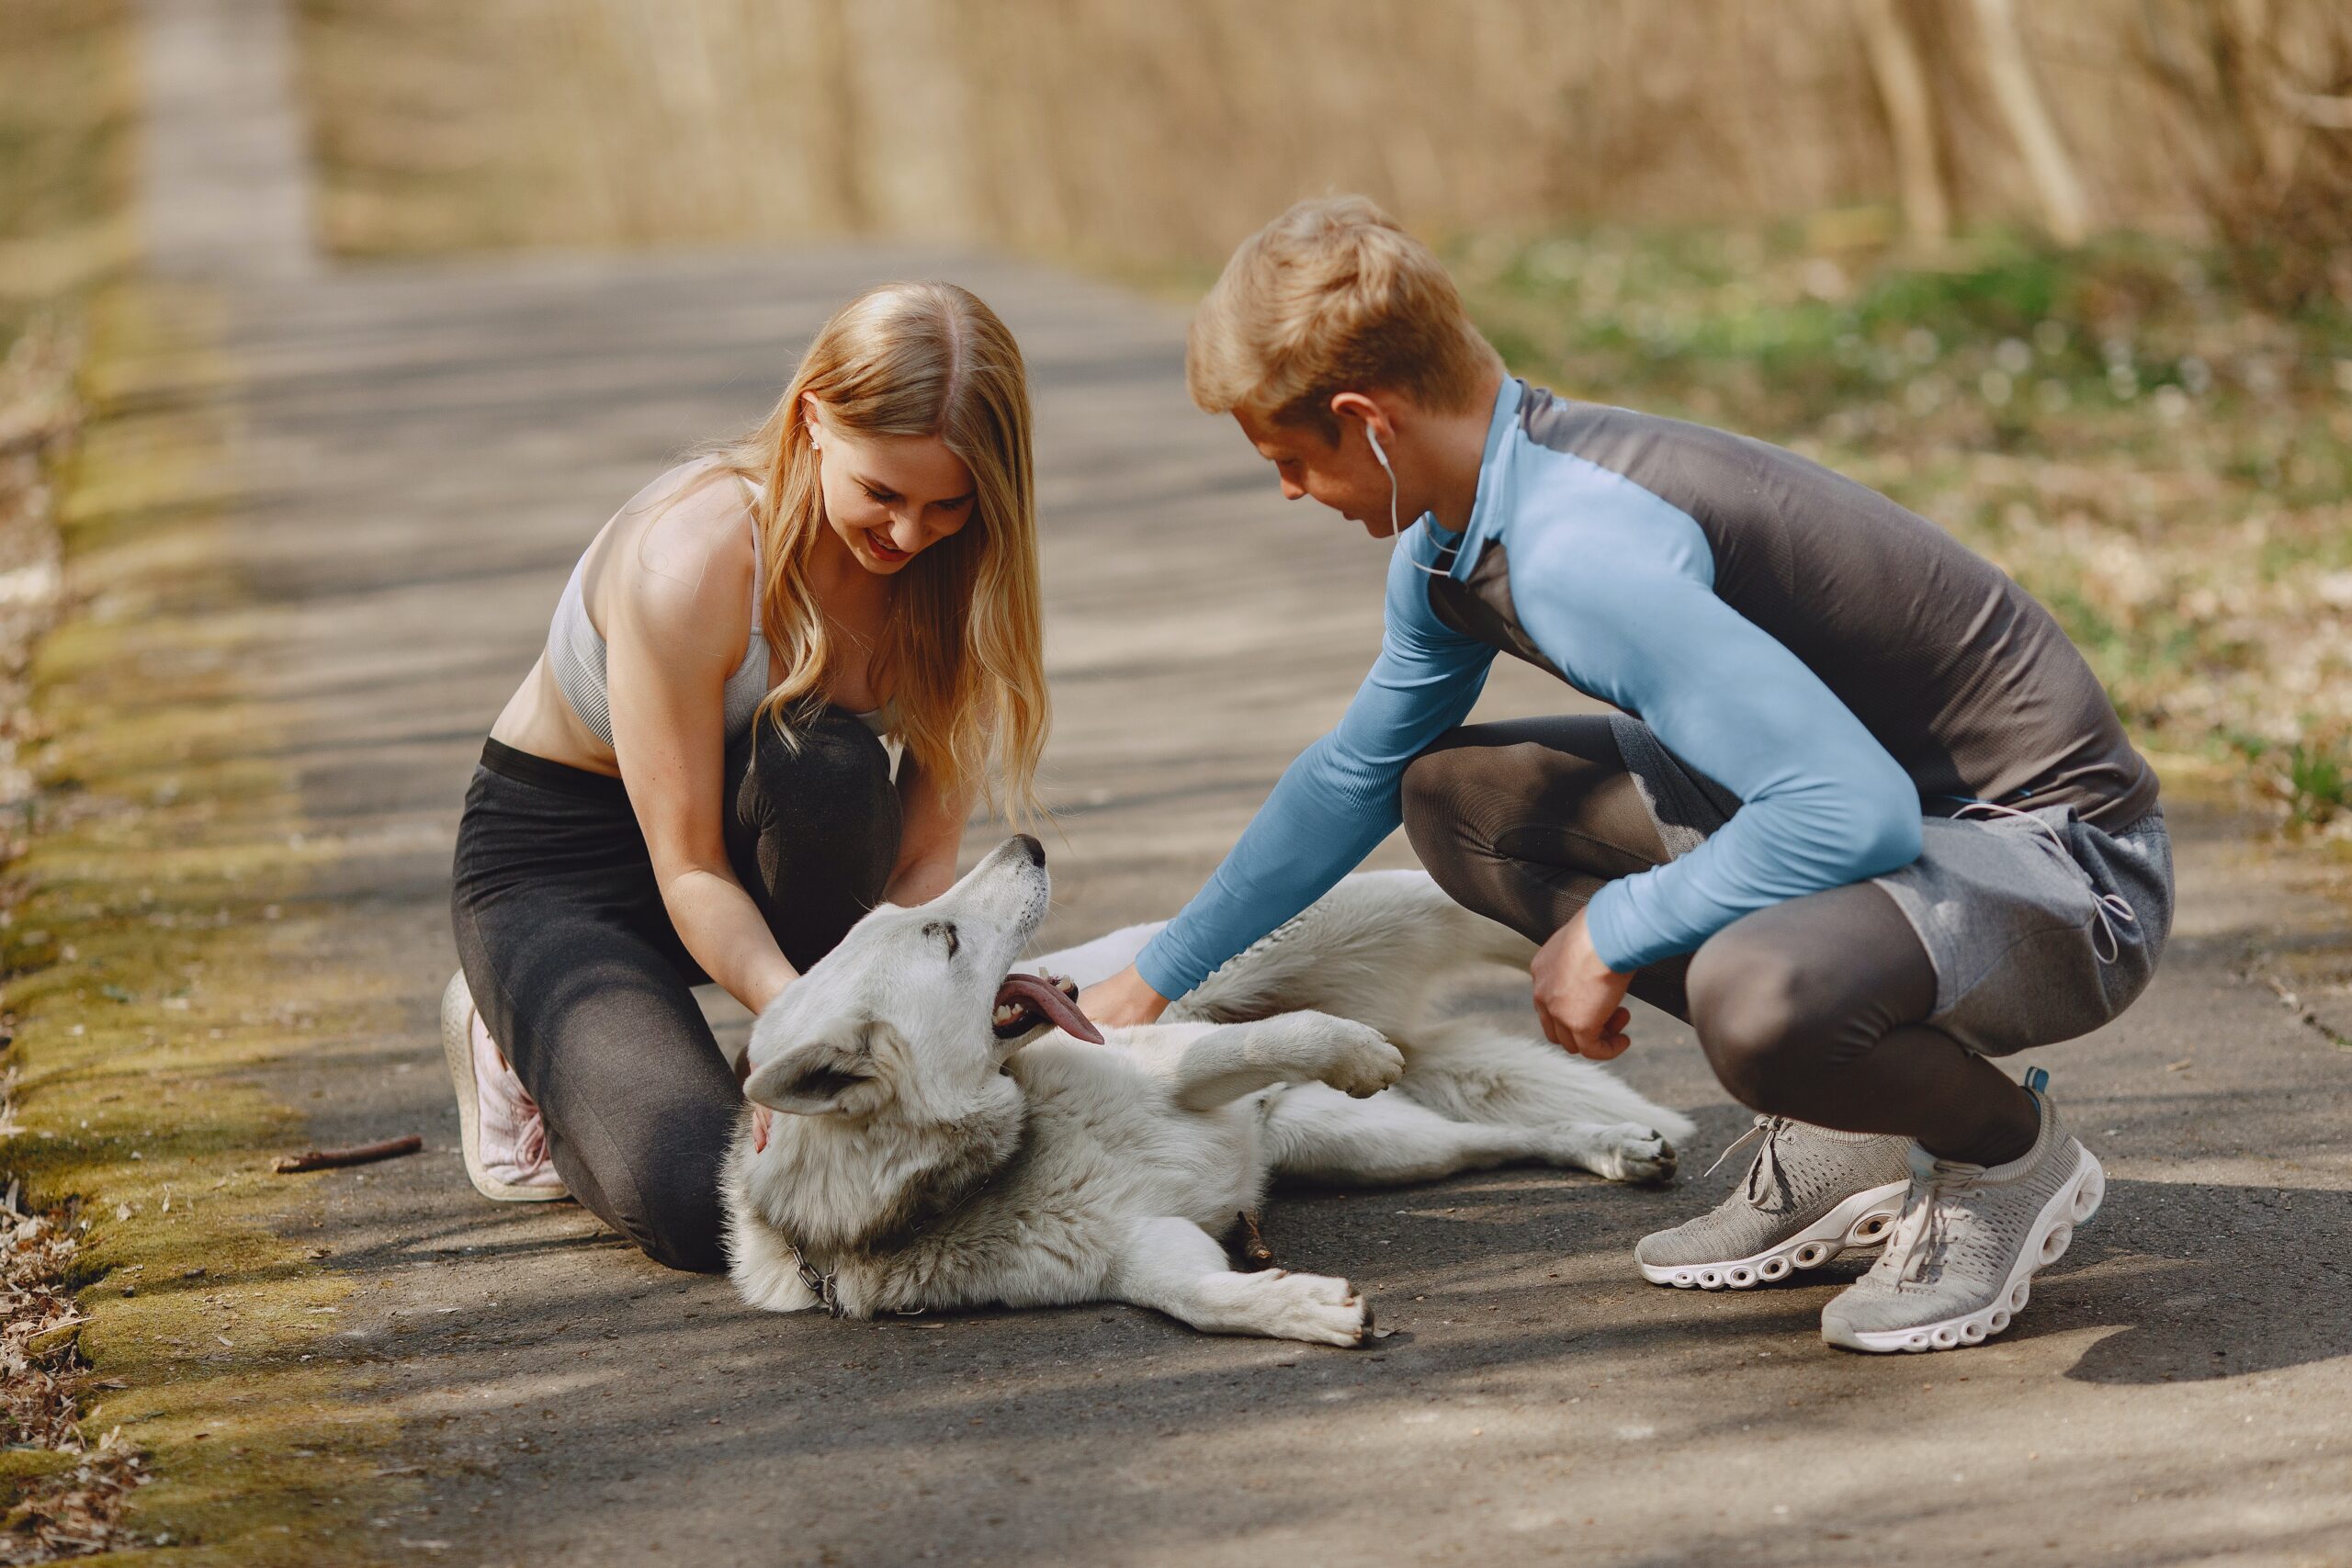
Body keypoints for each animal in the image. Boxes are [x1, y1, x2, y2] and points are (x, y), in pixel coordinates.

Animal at [715, 841, 1693, 1344]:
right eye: (944, 936)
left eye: (919, 921)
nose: (1026, 842)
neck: (1012, 1151)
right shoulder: (1147, 1252)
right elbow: (1203, 1302)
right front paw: (1303, 1308)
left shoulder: (1184, 1064)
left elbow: (1276, 1036)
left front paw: (1348, 1048)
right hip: (1375, 1150)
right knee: (1492, 1141)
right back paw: (1610, 1144)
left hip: (1363, 925)